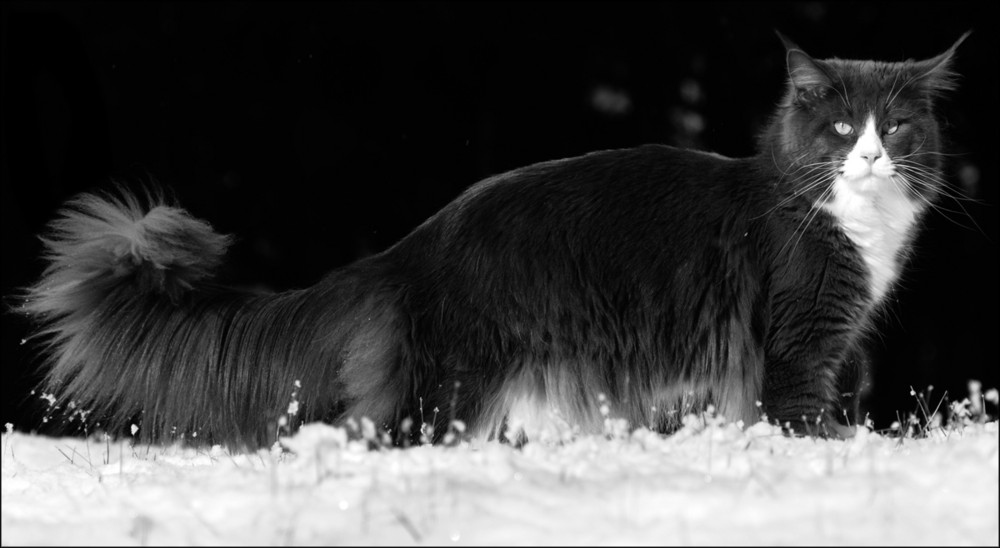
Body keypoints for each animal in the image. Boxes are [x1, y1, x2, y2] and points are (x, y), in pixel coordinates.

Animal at [17, 32, 968, 448]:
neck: (858, 229)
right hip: (448, 389)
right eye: (842, 129)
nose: (873, 156)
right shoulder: (802, 343)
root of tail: (407, 250)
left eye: (896, 129)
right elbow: (806, 422)